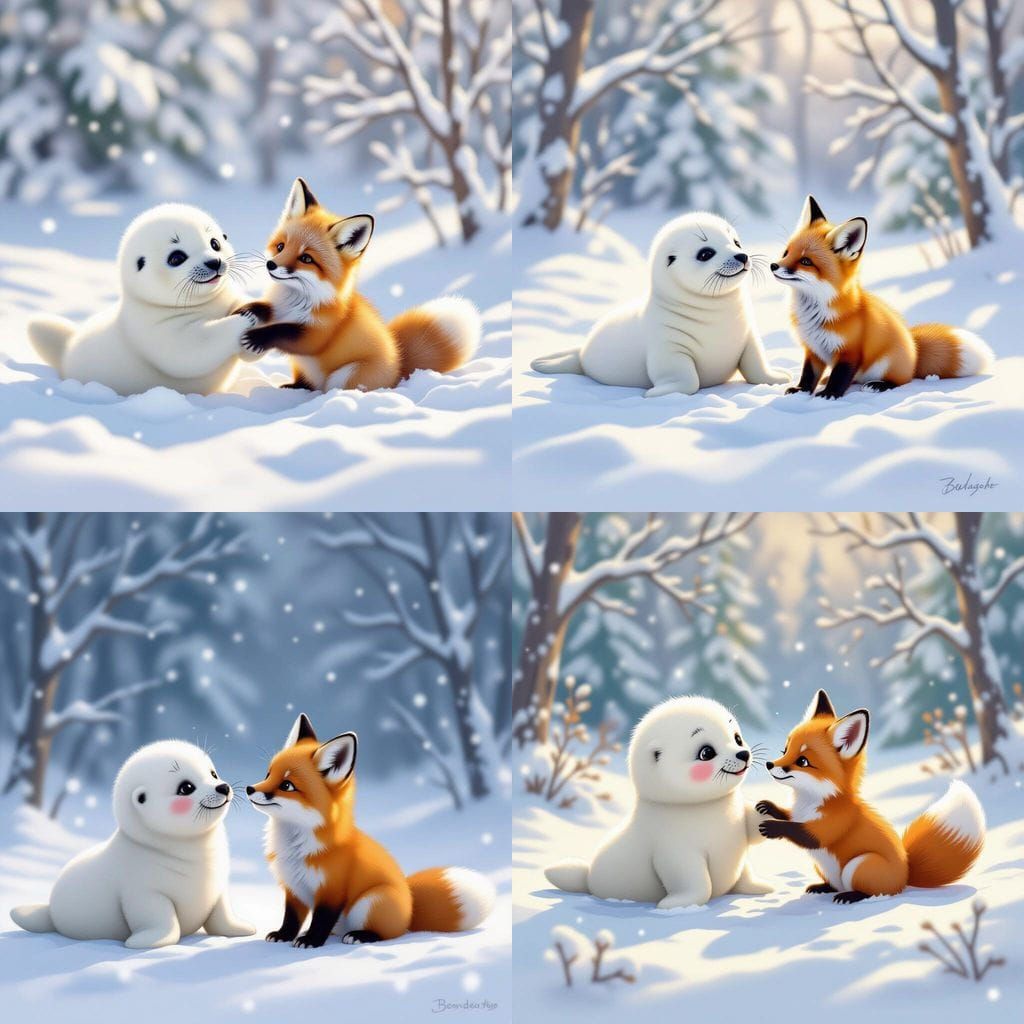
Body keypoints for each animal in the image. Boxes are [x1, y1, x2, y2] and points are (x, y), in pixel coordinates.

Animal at [237, 177, 480, 391]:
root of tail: (399, 364)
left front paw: (258, 337)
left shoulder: (318, 334)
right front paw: (247, 309)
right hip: (300, 365)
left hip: (343, 375)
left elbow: (284, 331)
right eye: (281, 246)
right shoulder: (278, 310)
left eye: (306, 258)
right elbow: (266, 310)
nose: (271, 265)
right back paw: (293, 387)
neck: (293, 300)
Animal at [246, 714, 494, 948]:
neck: (297, 847)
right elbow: (292, 918)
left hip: (369, 902)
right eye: (268, 774)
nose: (249, 789)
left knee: (387, 934)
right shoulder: (294, 888)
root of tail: (410, 908)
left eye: (287, 785)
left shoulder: (332, 891)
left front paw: (311, 941)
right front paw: (284, 935)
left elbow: (321, 920)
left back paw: (360, 936)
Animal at [758, 689, 984, 904]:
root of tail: (906, 875)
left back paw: (851, 896)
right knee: (836, 885)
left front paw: (772, 827)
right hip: (822, 867)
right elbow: (788, 816)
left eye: (802, 761)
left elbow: (799, 831)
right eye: (785, 750)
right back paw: (822, 887)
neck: (809, 802)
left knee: (875, 892)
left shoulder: (831, 825)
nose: (769, 765)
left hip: (859, 865)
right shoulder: (798, 814)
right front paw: (768, 807)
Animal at [772, 195, 993, 399]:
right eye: (786, 253)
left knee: (902, 381)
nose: (774, 266)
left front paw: (830, 394)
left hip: (885, 364)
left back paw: (879, 385)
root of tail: (914, 349)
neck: (817, 313)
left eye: (806, 261)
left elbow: (840, 376)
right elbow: (809, 374)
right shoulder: (813, 349)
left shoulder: (851, 351)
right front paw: (801, 391)